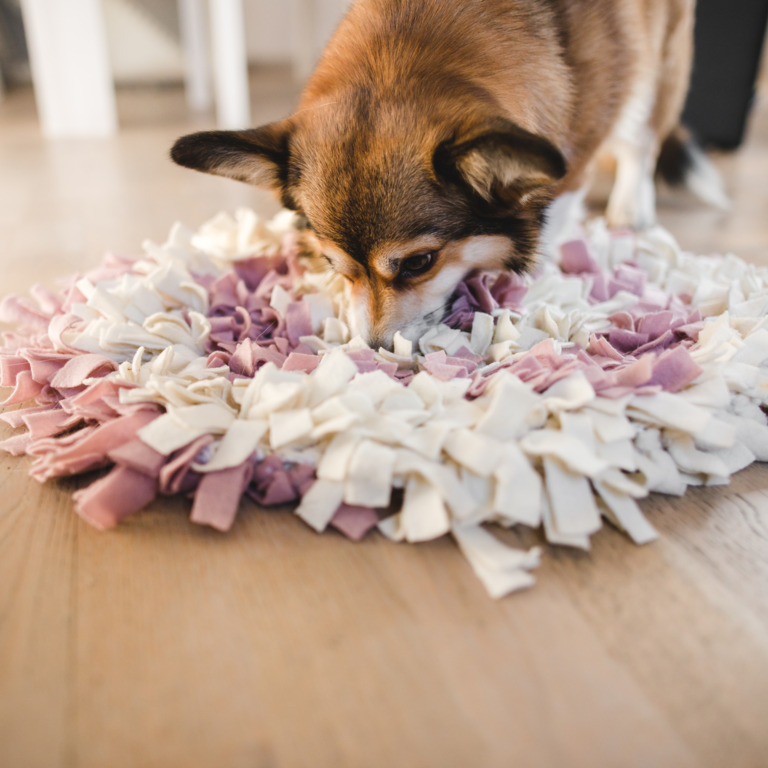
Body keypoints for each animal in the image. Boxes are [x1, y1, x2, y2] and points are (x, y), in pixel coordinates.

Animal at [170, 0, 728, 348]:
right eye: (333, 264)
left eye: (420, 263)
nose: (375, 349)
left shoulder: (576, 151)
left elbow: (557, 213)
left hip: (655, 66)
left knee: (640, 139)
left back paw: (631, 214)